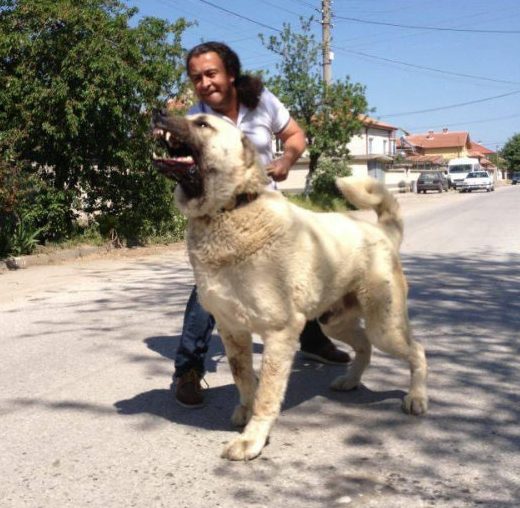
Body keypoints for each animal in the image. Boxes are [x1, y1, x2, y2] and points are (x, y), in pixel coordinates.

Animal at [152, 111, 428, 460]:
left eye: (202, 123)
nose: (157, 112)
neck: (231, 209)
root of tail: (382, 232)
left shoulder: (279, 332)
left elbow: (267, 393)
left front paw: (252, 438)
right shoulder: (233, 332)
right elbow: (245, 380)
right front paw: (245, 412)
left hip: (385, 326)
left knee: (416, 350)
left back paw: (417, 397)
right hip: (335, 321)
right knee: (364, 345)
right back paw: (350, 381)